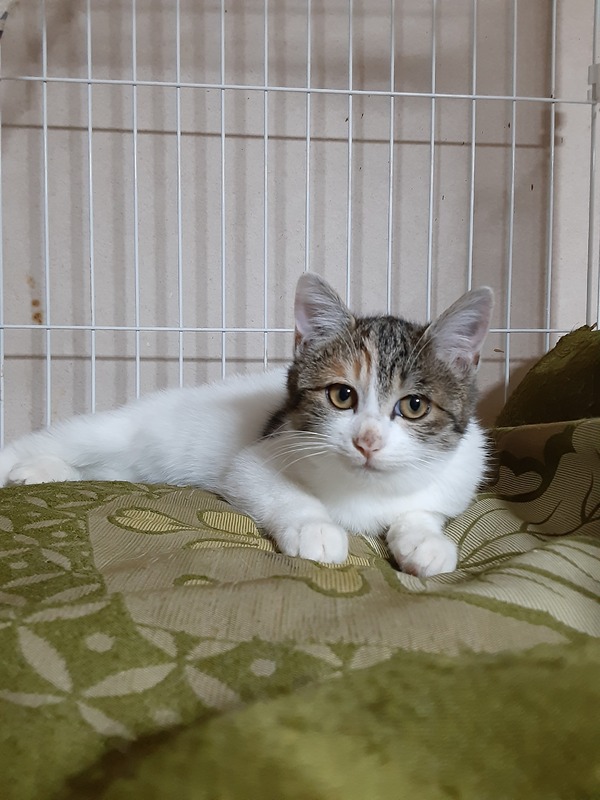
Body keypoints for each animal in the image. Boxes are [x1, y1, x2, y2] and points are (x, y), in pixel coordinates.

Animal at [0, 273, 493, 578]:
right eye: (342, 395)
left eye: (414, 406)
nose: (367, 441)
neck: (364, 489)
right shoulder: (259, 456)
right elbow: (283, 492)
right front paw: (316, 529)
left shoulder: (456, 478)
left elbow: (422, 510)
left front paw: (425, 541)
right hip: (110, 431)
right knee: (52, 442)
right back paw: (28, 465)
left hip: (126, 466)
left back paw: (42, 472)